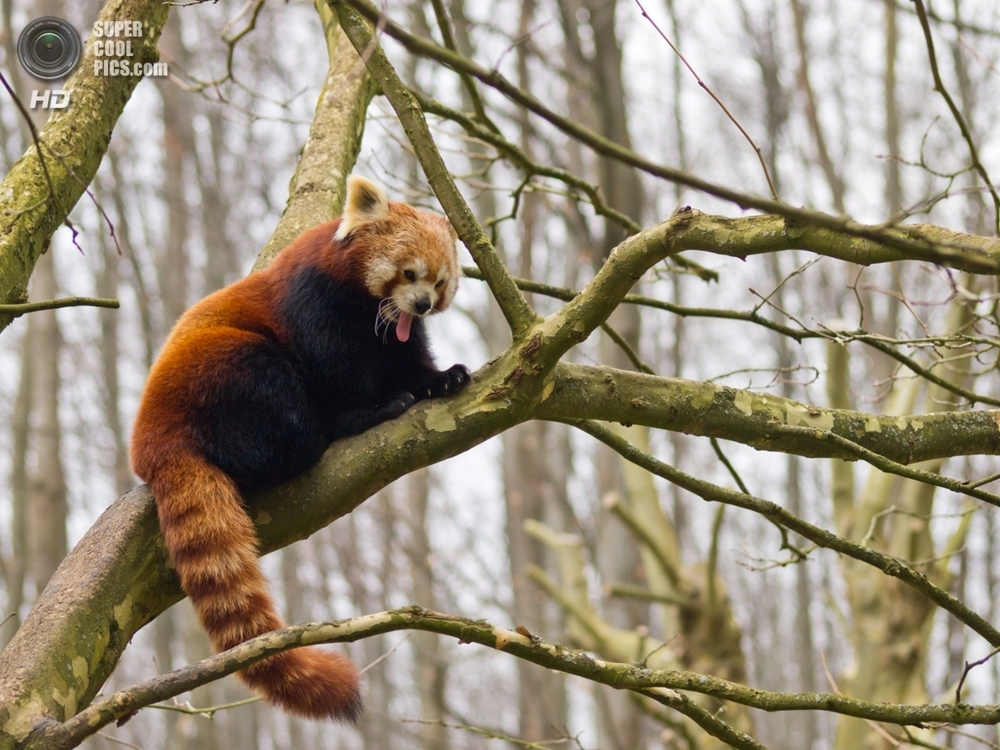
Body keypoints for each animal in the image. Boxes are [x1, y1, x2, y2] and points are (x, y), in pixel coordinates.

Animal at [131, 176, 470, 724]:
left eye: (440, 282)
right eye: (409, 272)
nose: (420, 304)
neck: (366, 305)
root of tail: (151, 443)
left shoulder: (391, 335)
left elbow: (406, 356)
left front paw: (441, 379)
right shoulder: (315, 303)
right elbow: (334, 370)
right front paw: (369, 407)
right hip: (225, 368)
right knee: (275, 394)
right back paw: (329, 432)